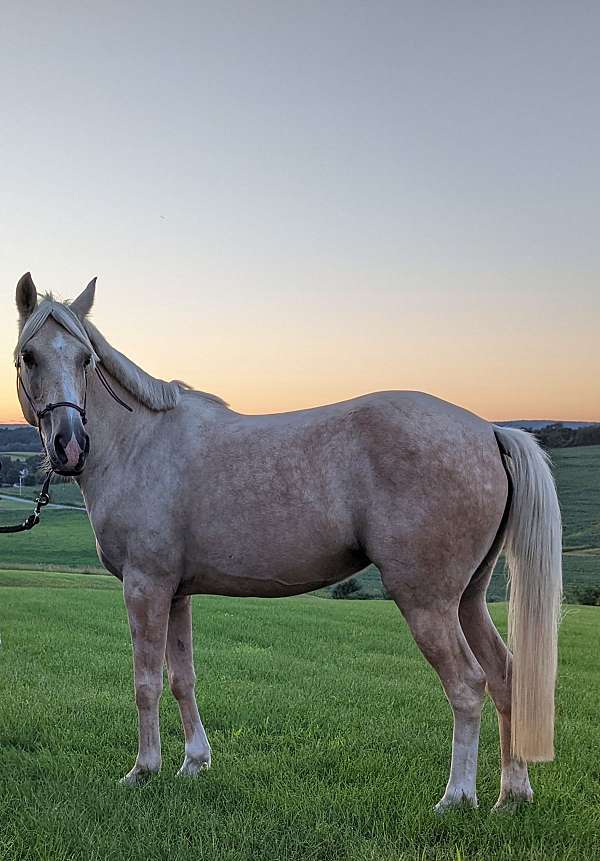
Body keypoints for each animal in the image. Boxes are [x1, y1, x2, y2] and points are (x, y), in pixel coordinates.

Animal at [12, 274, 564, 808]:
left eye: (85, 359)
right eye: (29, 355)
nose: (70, 445)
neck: (140, 443)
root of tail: (489, 430)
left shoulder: (144, 587)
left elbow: (145, 681)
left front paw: (144, 770)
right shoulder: (176, 593)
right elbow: (181, 678)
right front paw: (194, 763)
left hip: (428, 602)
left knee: (468, 686)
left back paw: (457, 797)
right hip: (468, 598)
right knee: (505, 677)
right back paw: (512, 794)